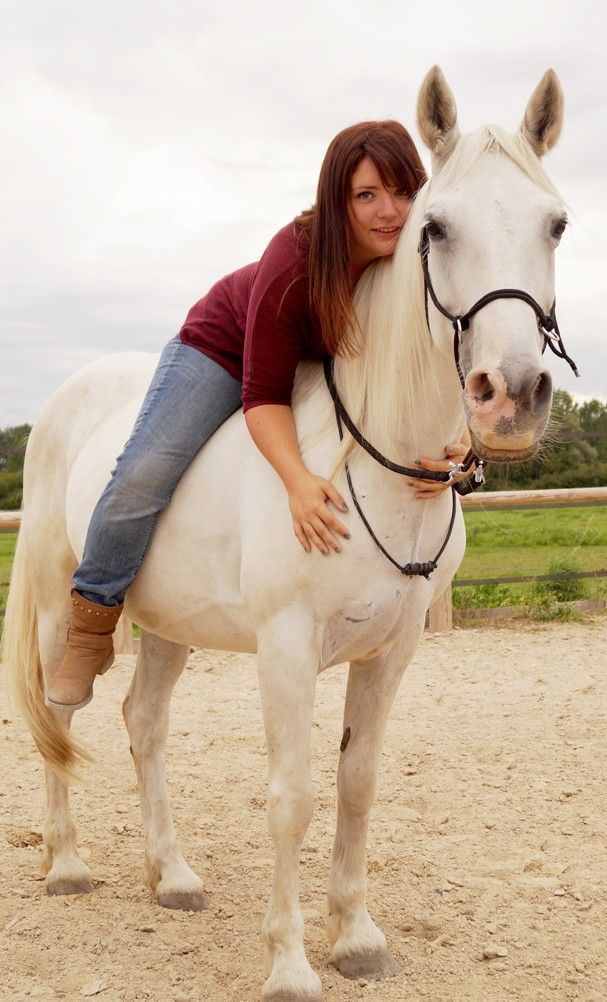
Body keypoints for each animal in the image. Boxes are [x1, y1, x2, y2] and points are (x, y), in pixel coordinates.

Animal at [3, 67, 570, 1001]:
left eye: (554, 223)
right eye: (436, 227)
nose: (511, 394)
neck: (373, 468)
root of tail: (64, 400)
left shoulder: (392, 651)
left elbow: (356, 784)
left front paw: (357, 938)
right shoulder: (286, 647)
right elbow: (292, 796)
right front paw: (291, 965)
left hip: (168, 626)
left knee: (142, 722)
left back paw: (172, 876)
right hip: (59, 610)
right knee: (58, 710)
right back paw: (69, 864)